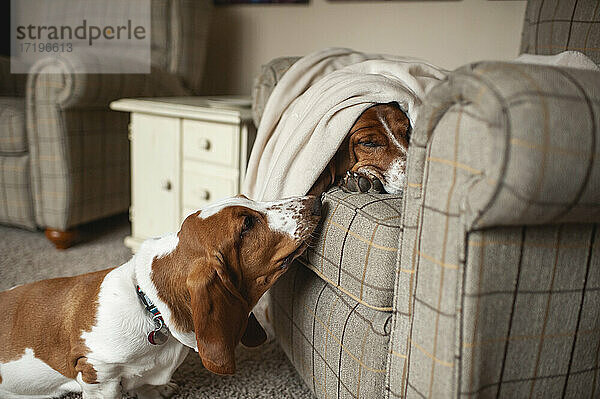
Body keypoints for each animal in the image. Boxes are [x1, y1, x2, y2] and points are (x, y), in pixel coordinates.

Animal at [0, 195, 324, 398]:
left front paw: (154, 391)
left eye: (247, 197)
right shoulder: (96, 373)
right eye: (246, 225)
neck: (149, 306)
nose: (317, 200)